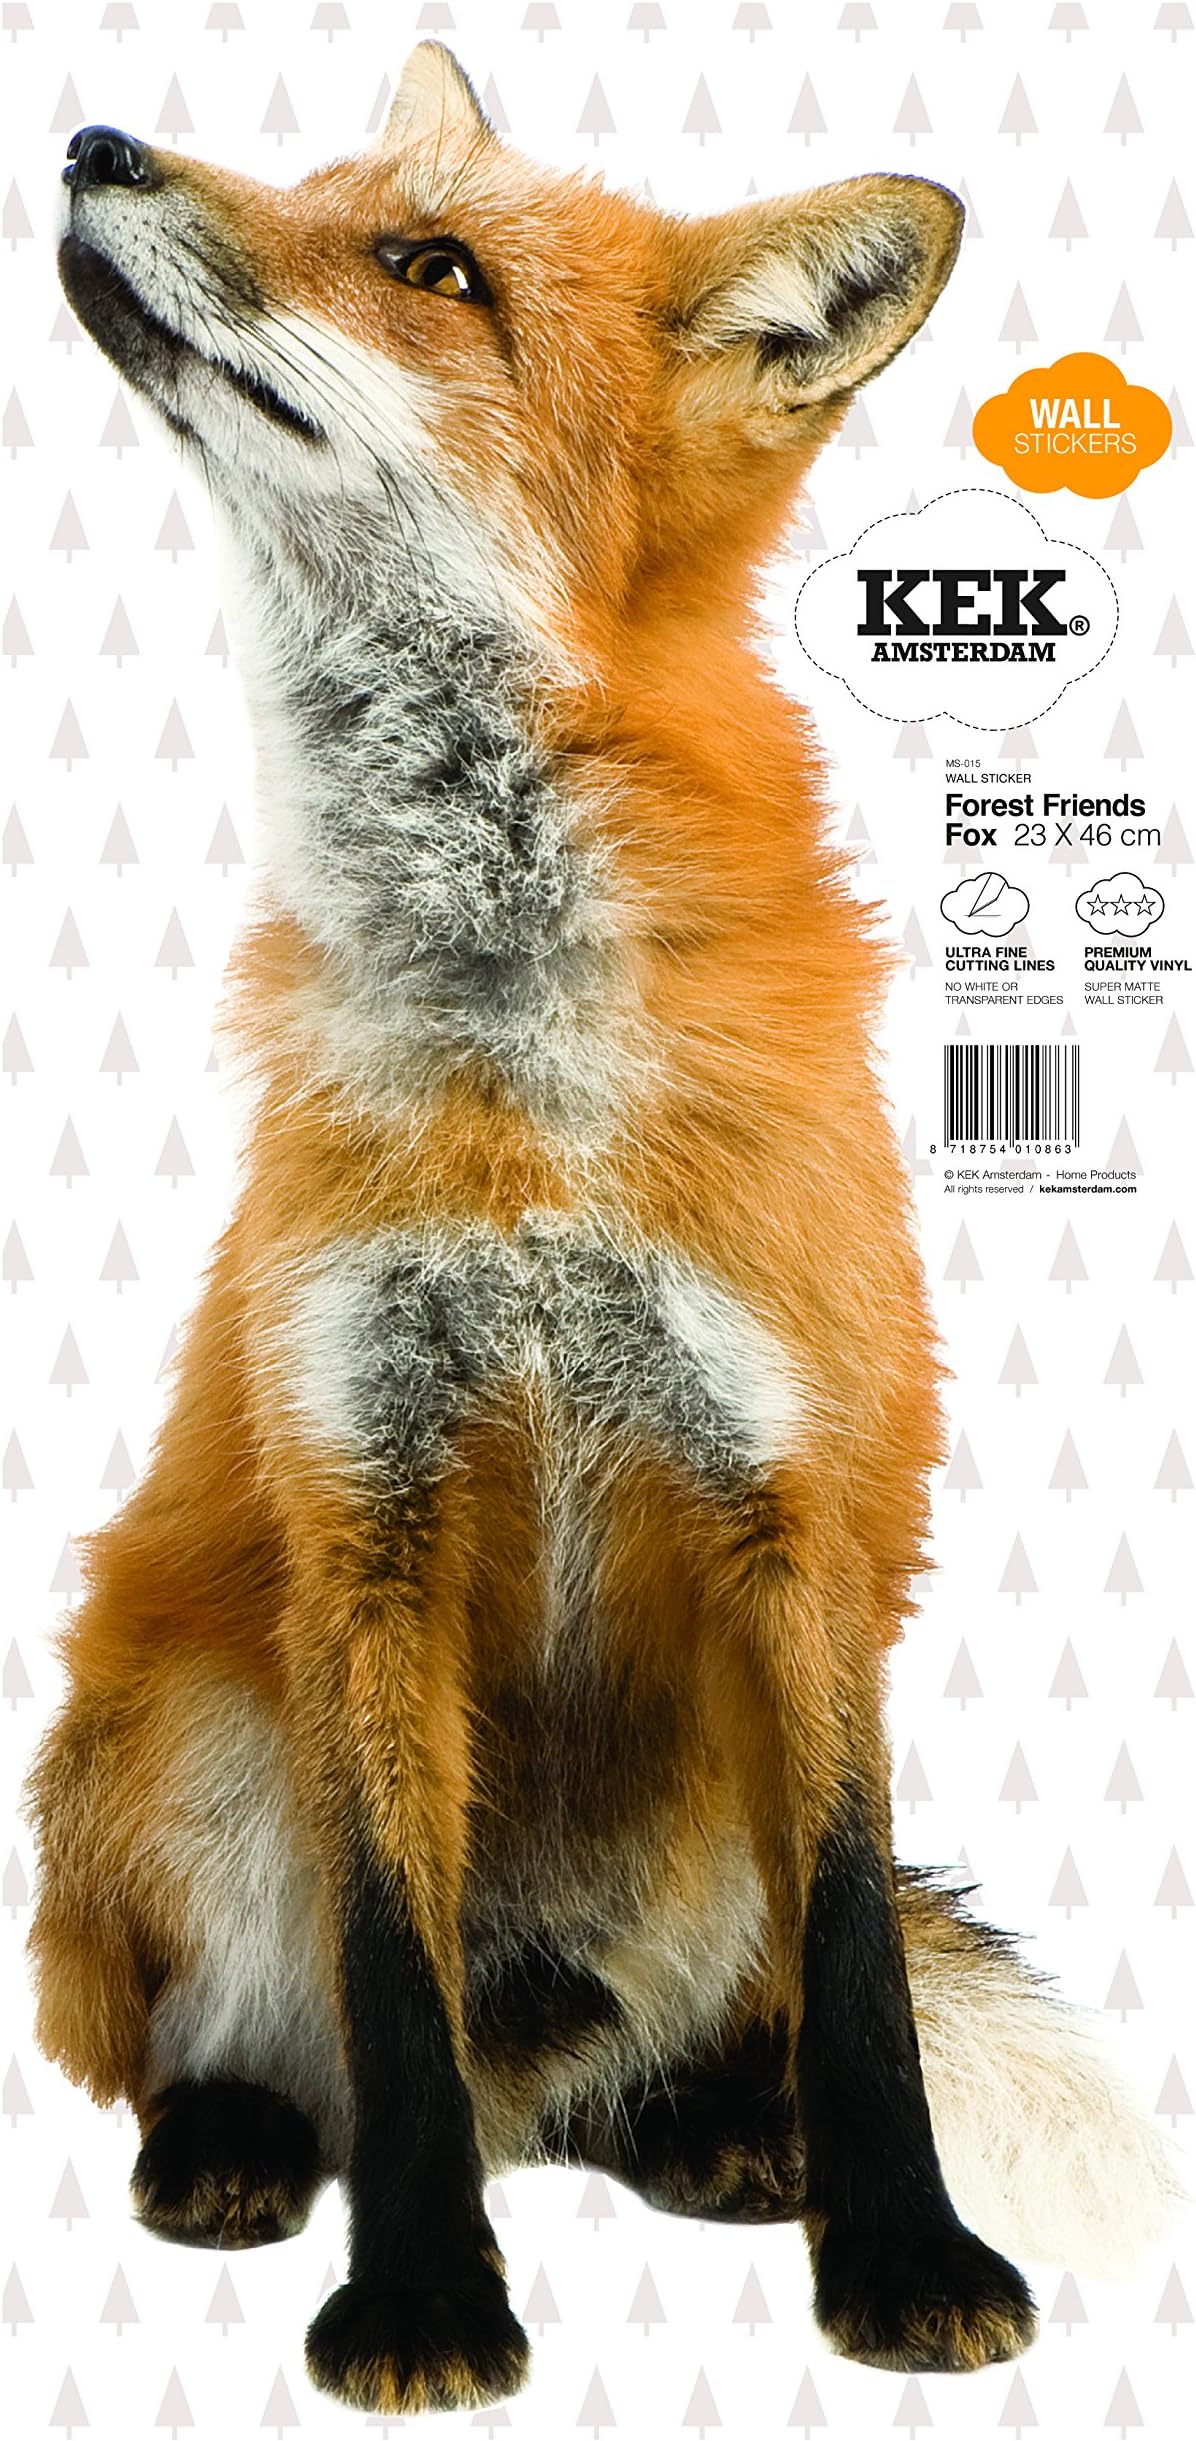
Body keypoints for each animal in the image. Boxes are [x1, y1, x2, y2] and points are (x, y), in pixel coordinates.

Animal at [26, 39, 1176, 2420]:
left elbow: (862, 1962)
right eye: (332, 189)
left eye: (426, 264)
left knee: (688, 2038)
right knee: (276, 2047)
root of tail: (551, 2043)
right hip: (176, 1741)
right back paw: (238, 2141)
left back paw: (724, 2134)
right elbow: (386, 1972)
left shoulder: (799, 1510)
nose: (90, 141)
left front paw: (904, 2254)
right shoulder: (362, 1506)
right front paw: (423, 2303)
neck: (520, 1087)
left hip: (709, 1788)